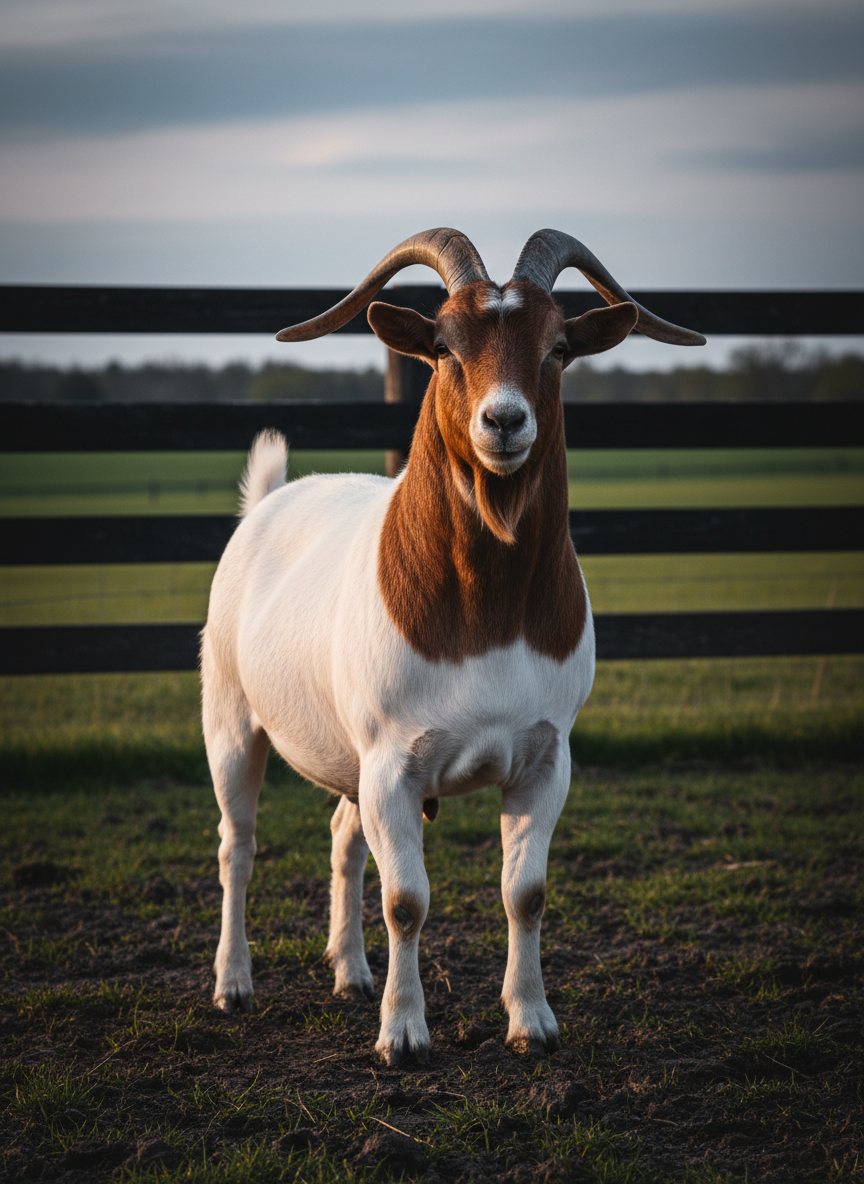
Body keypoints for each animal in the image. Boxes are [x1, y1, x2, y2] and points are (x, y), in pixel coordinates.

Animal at [201, 229, 704, 1064]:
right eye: (442, 344)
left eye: (558, 346)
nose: (504, 422)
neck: (486, 618)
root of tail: (267, 500)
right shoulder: (392, 763)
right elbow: (407, 900)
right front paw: (404, 1034)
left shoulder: (545, 759)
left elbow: (525, 894)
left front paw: (532, 1021)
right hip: (233, 720)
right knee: (237, 845)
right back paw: (233, 984)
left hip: (348, 760)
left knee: (343, 839)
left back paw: (351, 972)